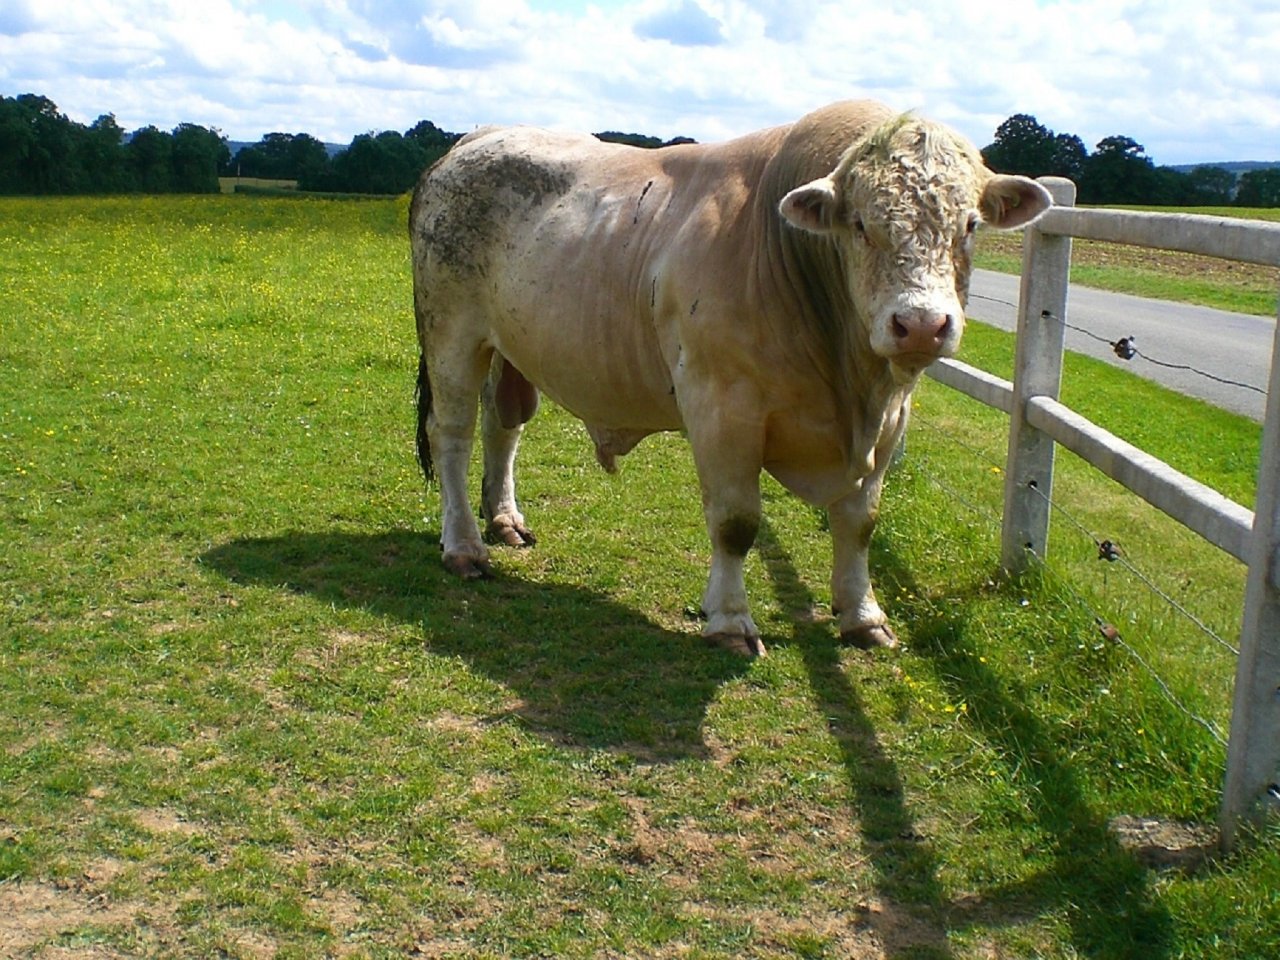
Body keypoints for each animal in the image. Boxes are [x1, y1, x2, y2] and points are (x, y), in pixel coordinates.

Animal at [409, 101, 1049, 660]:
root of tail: (475, 138)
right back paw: (463, 546)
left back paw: (505, 520)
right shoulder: (722, 408)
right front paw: (731, 622)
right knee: (453, 435)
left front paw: (863, 616)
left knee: (503, 425)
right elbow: (736, 522)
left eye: (970, 224)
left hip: (508, 345)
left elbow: (860, 521)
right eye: (860, 224)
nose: (920, 325)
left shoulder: (892, 419)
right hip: (451, 334)